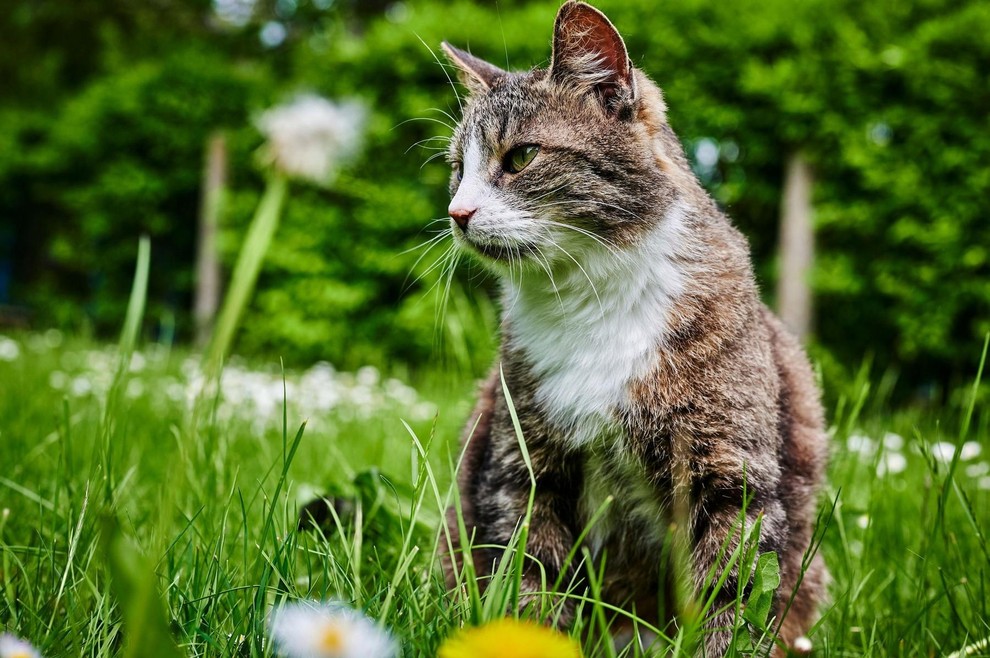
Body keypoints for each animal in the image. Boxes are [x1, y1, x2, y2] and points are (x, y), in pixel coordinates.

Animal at [440, 3, 828, 652]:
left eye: (520, 157)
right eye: (456, 170)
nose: (456, 213)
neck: (587, 300)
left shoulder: (730, 472)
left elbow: (733, 590)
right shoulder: (525, 470)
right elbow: (533, 576)